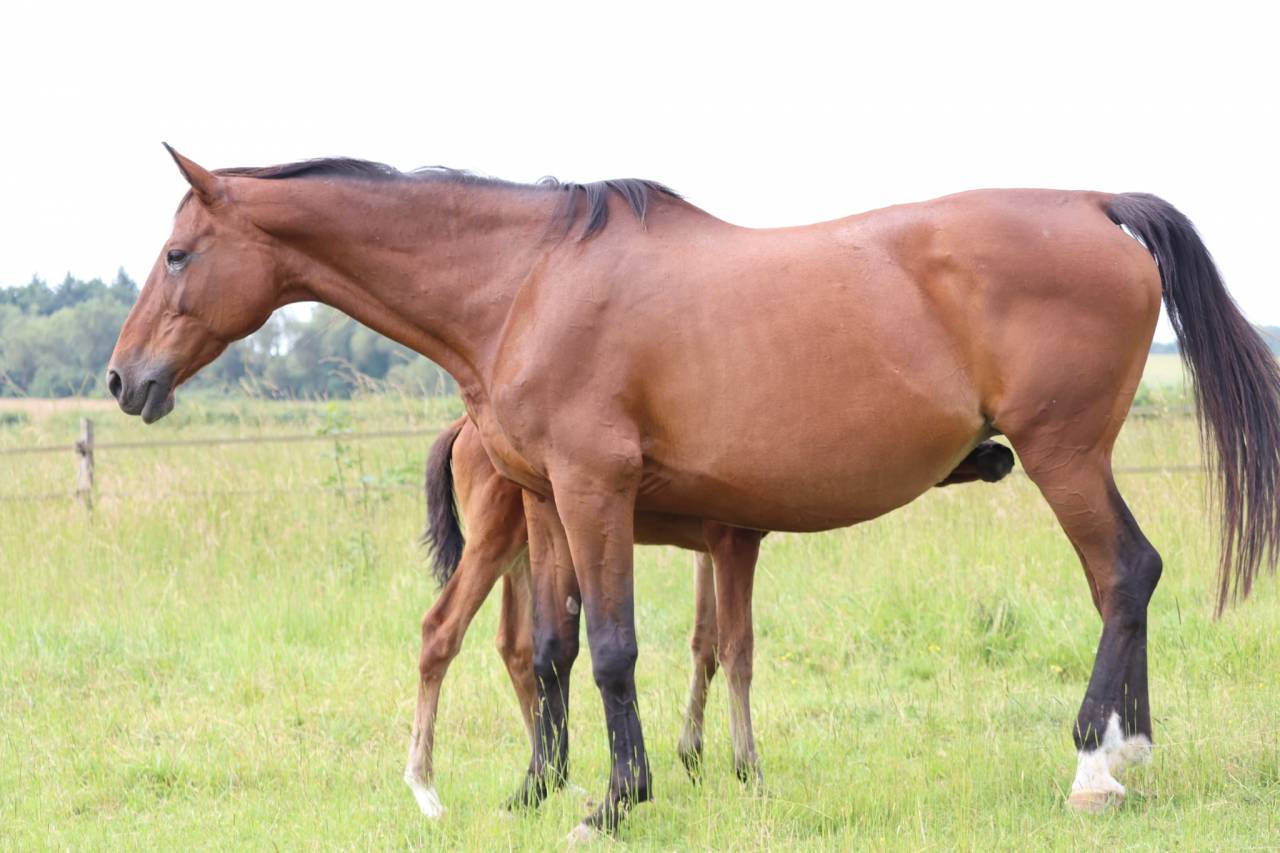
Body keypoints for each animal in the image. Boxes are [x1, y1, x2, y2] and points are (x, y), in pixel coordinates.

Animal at [408, 416, 1014, 816]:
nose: (999, 455)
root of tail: (460, 429)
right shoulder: (733, 541)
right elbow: (736, 649)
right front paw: (747, 771)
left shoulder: (706, 548)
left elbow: (704, 643)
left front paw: (693, 756)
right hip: (495, 541)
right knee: (442, 630)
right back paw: (426, 788)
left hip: (525, 551)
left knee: (516, 648)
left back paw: (553, 777)